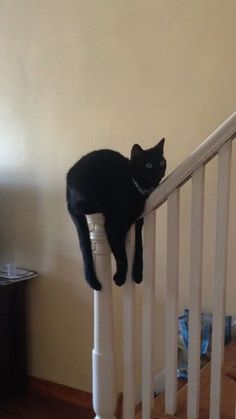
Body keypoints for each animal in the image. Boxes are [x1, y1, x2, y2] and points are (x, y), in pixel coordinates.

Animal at [66, 139, 166, 290]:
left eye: (161, 162)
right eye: (148, 165)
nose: (159, 171)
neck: (136, 187)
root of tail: (67, 180)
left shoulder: (137, 223)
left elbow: (139, 247)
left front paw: (138, 274)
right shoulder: (114, 225)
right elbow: (121, 254)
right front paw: (120, 278)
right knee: (79, 207)